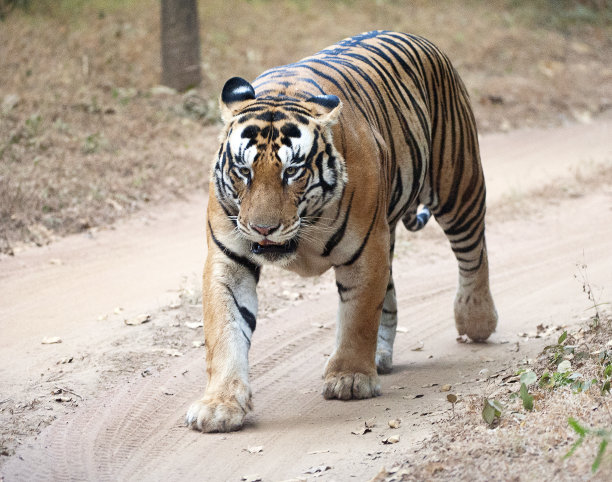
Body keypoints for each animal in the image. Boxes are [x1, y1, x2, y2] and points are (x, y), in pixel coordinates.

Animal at [185, 30, 498, 434]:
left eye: (291, 172)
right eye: (243, 171)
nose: (263, 228)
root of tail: (417, 37)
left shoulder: (365, 253)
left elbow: (358, 317)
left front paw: (350, 378)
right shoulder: (230, 261)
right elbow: (225, 331)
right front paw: (219, 405)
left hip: (457, 184)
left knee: (474, 251)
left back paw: (477, 318)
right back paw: (381, 356)